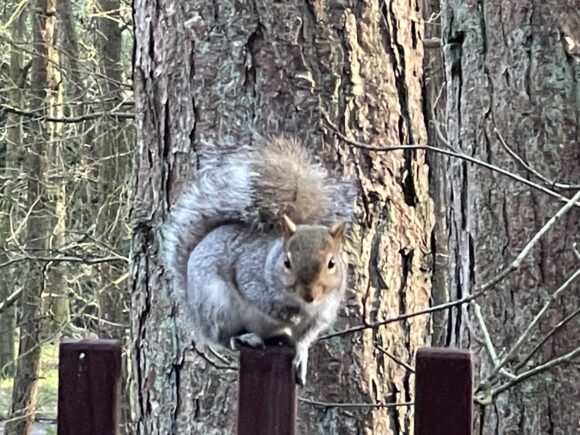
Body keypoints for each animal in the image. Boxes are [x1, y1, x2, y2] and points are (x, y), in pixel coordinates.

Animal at [161, 136, 356, 384]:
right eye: (287, 262)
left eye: (332, 263)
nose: (309, 295)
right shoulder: (249, 272)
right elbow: (259, 297)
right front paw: (287, 315)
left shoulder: (322, 312)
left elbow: (304, 339)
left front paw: (301, 355)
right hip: (217, 305)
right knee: (223, 337)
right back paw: (245, 337)